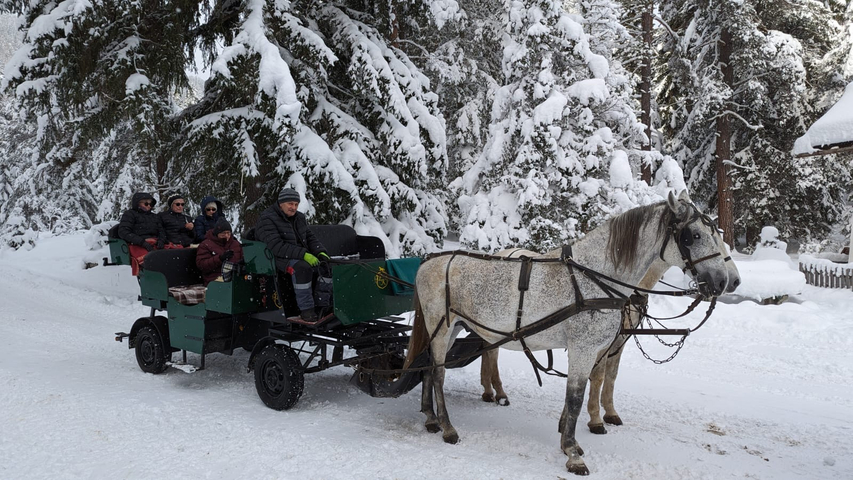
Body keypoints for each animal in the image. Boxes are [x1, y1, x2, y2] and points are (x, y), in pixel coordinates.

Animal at [404, 191, 737, 475]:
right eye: (694, 236)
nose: (725, 282)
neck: (595, 276)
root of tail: (429, 261)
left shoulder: (598, 348)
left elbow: (590, 387)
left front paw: (571, 440)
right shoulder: (584, 348)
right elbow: (576, 397)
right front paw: (573, 452)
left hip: (449, 329)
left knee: (428, 368)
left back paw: (431, 418)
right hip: (442, 327)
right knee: (438, 373)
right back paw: (447, 427)